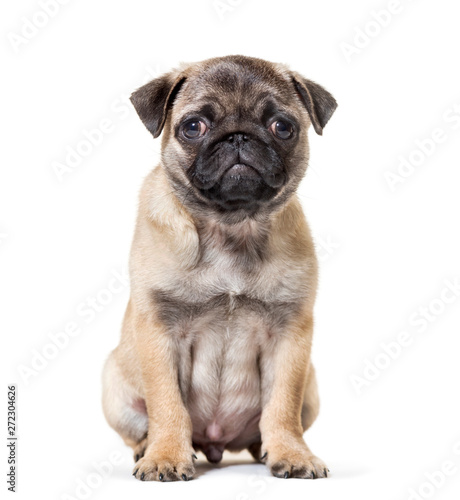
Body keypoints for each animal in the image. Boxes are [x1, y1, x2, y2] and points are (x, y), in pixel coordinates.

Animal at [101, 53, 338, 480]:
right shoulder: (159, 332)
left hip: (311, 387)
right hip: (114, 385)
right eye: (193, 127)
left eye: (283, 127)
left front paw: (292, 453)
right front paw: (165, 455)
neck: (232, 227)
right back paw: (147, 448)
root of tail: (216, 443)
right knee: (140, 427)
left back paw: (264, 448)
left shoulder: (290, 338)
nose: (238, 137)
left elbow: (282, 405)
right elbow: (167, 403)